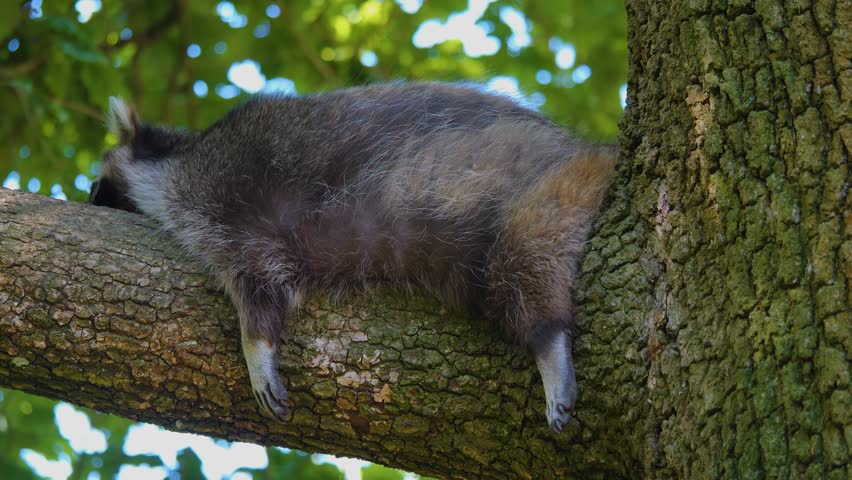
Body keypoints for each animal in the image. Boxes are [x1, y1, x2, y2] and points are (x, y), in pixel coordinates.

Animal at [89, 82, 617, 433]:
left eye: (97, 179)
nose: (87, 197)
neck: (177, 160)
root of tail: (591, 152)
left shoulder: (230, 195)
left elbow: (259, 283)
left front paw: (255, 345)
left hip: (537, 184)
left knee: (524, 258)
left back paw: (548, 339)